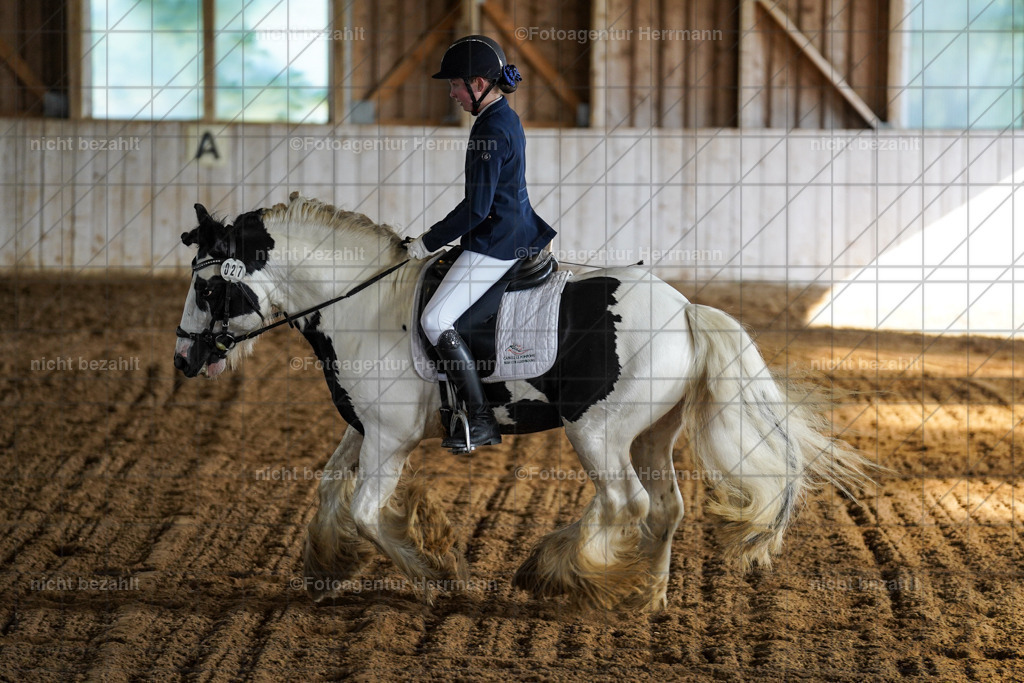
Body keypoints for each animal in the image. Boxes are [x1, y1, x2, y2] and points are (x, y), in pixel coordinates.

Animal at [172, 192, 875, 611]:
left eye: (207, 289)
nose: (183, 360)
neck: (362, 304)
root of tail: (684, 310)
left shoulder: (390, 440)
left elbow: (368, 512)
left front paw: (439, 580)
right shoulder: (366, 428)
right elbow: (325, 486)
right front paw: (325, 564)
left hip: (596, 432)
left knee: (626, 502)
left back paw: (557, 574)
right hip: (652, 433)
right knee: (667, 507)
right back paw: (645, 594)